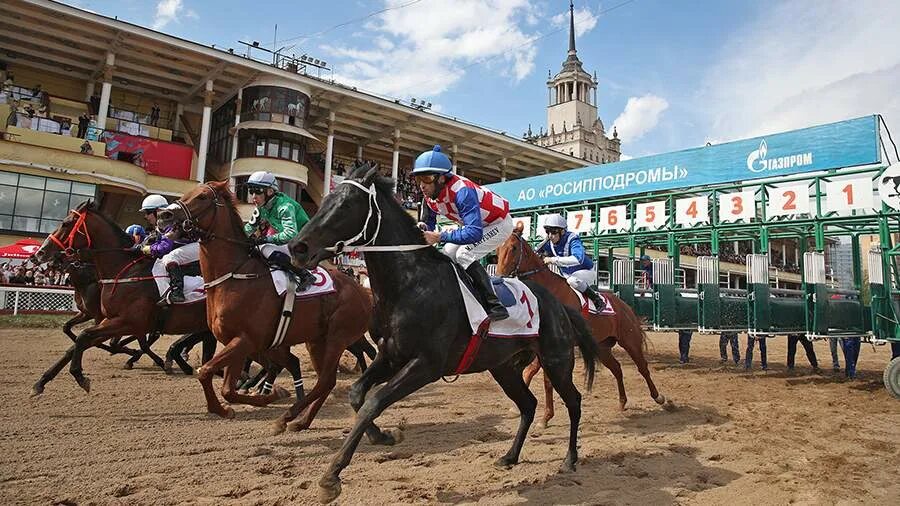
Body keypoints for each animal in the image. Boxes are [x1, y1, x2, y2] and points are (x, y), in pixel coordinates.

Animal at [162, 180, 372, 428]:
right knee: (325, 380)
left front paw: (236, 404)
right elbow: (228, 389)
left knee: (326, 379)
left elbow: (206, 372)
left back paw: (290, 417)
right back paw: (302, 421)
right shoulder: (238, 342)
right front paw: (264, 396)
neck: (235, 276)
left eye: (202, 197)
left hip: (337, 338)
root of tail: (364, 292)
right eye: (188, 193)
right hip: (315, 341)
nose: (165, 215)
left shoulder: (245, 340)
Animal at [288, 165, 596, 502]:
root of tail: (559, 304)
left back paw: (570, 458)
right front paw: (383, 436)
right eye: (325, 199)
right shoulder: (392, 354)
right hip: (503, 367)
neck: (411, 284)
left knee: (574, 401)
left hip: (556, 361)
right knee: (528, 404)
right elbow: (357, 394)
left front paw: (331, 477)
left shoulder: (427, 365)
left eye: (345, 205)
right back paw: (510, 456)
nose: (297, 248)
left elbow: (373, 401)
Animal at [492, 223, 668, 422]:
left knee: (643, 367)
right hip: (602, 347)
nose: (499, 277)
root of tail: (626, 307)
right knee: (617, 368)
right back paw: (622, 402)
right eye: (497, 250)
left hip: (630, 341)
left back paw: (660, 398)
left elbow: (544, 378)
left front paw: (546, 416)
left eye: (513, 248)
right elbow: (534, 373)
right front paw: (530, 412)